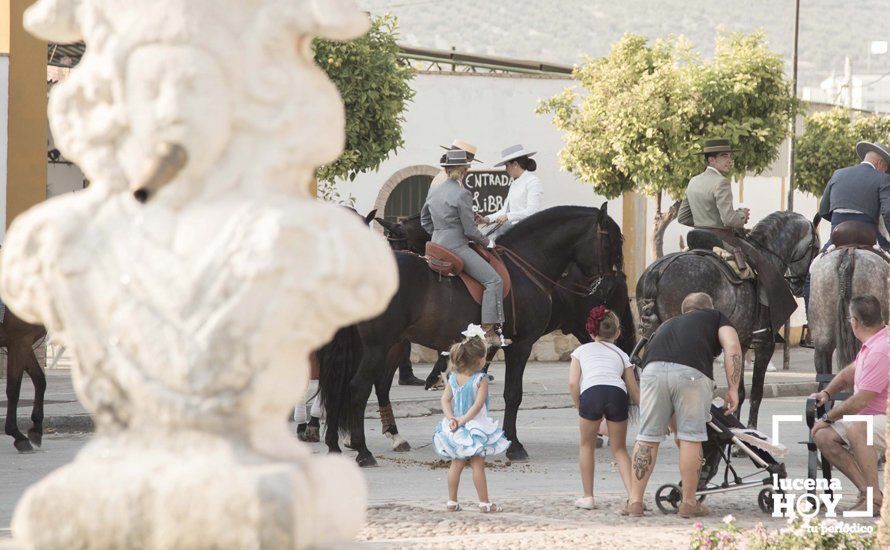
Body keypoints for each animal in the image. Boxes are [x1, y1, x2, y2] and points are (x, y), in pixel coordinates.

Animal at [2, 308, 48, 454]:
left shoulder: (24, 341)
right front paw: (18, 436)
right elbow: (13, 389)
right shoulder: (19, 340)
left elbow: (39, 380)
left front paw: (36, 429)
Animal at [320, 206, 624, 466]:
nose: (610, 287)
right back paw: (363, 451)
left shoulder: (491, 347)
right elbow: (513, 393)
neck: (526, 264)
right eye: (610, 243)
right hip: (379, 345)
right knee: (359, 387)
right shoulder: (521, 345)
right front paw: (513, 445)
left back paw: (340, 444)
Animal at [632, 211, 820, 432]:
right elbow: (756, 391)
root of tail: (658, 270)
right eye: (816, 248)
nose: (799, 286)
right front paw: (751, 429)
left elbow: (739, 390)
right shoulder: (765, 343)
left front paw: (738, 425)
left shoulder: (741, 342)